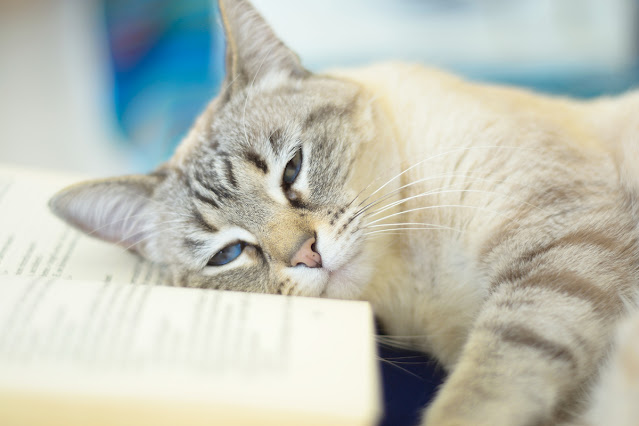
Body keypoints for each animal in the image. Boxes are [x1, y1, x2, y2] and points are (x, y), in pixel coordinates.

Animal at [48, 0, 639, 426]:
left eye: (291, 170)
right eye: (230, 253)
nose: (308, 255)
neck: (416, 279)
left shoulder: (557, 236)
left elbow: (484, 388)